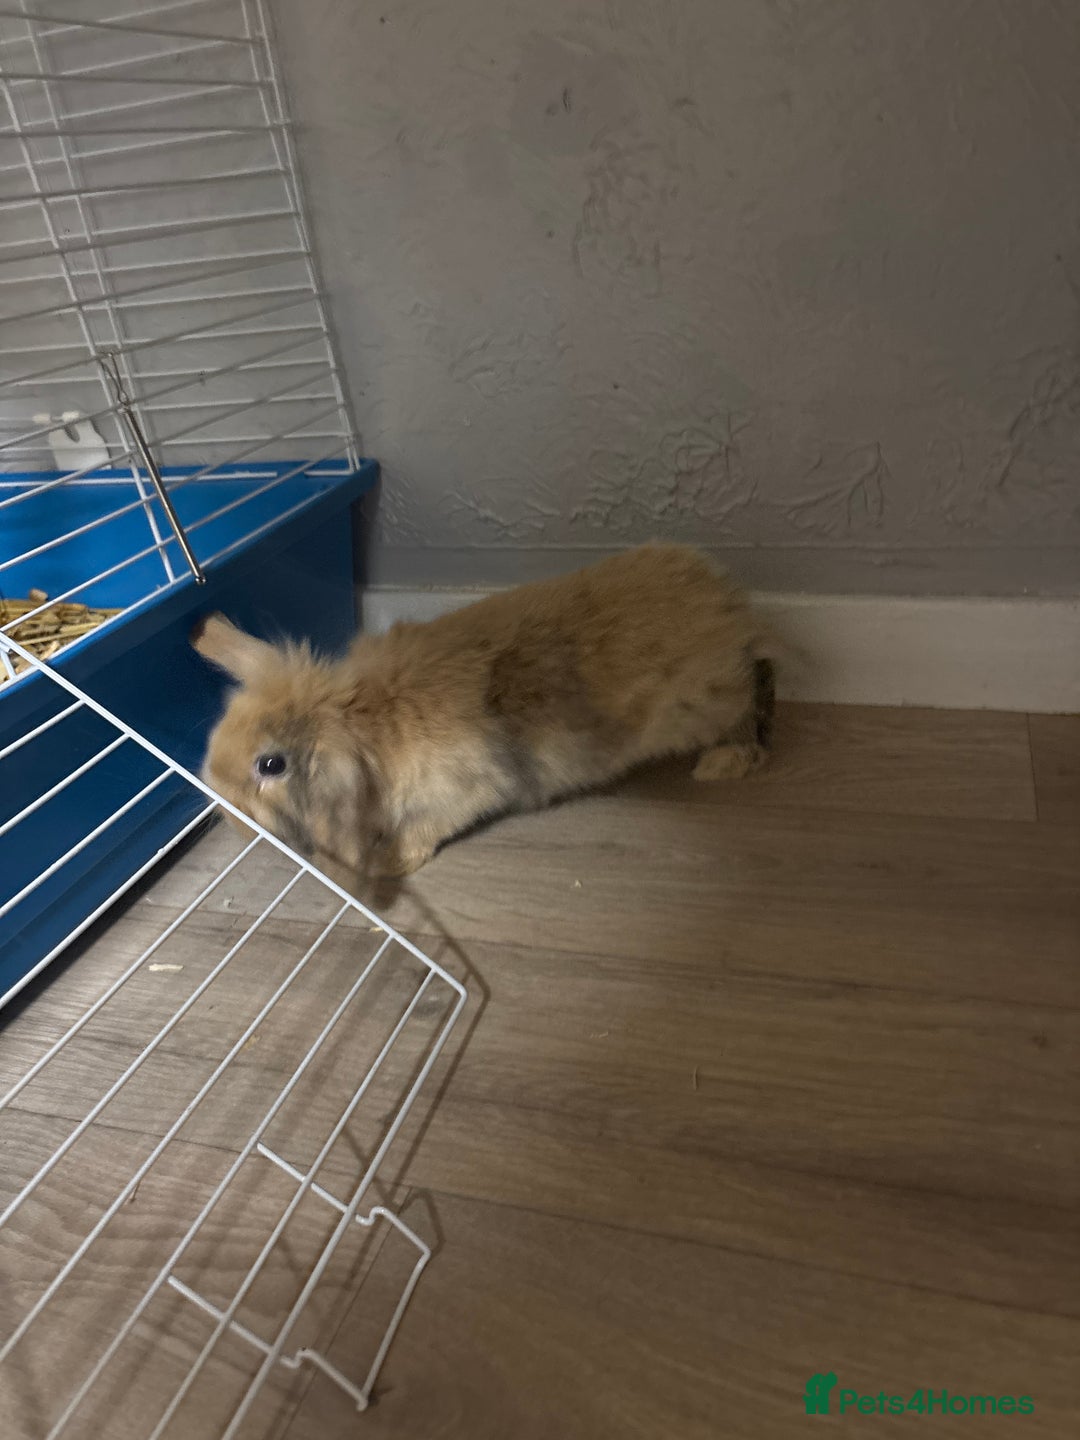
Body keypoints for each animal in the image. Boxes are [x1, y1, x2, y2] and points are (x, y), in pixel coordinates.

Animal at [190, 543, 778, 894]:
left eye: (271, 765)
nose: (225, 814)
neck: (358, 721)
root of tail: (722, 592)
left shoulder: (464, 789)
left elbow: (425, 829)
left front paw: (388, 865)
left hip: (706, 703)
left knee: (750, 700)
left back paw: (723, 763)